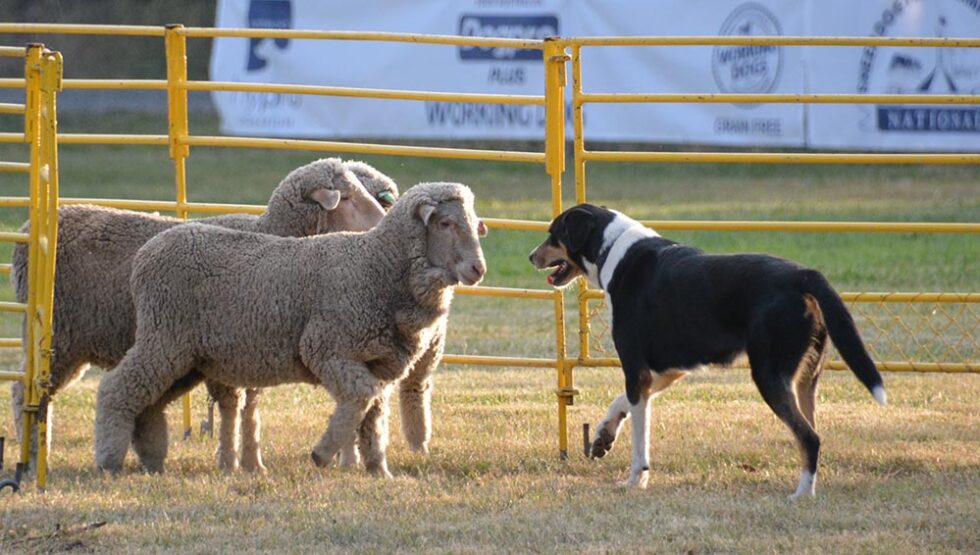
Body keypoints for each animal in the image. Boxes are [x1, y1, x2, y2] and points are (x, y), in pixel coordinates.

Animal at [10, 157, 390, 474]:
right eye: (347, 198)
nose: (383, 225)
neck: (270, 231)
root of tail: (28, 231)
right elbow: (234, 405)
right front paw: (232, 461)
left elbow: (249, 407)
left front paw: (251, 462)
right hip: (59, 335)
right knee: (24, 390)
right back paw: (35, 457)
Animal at [95, 184, 486, 478]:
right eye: (446, 223)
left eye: (473, 223)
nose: (478, 269)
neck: (376, 265)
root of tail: (147, 253)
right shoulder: (324, 347)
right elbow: (362, 396)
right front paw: (323, 452)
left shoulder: (377, 362)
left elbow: (374, 413)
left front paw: (378, 469)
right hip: (165, 338)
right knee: (117, 387)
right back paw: (109, 460)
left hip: (189, 357)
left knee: (149, 400)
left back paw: (151, 458)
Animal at [532, 205, 884, 500]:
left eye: (554, 233)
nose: (531, 256)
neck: (613, 251)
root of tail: (803, 274)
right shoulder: (666, 370)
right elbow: (621, 403)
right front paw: (603, 437)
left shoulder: (637, 370)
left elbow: (639, 439)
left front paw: (636, 480)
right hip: (805, 380)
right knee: (812, 433)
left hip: (770, 375)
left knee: (809, 437)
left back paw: (801, 495)